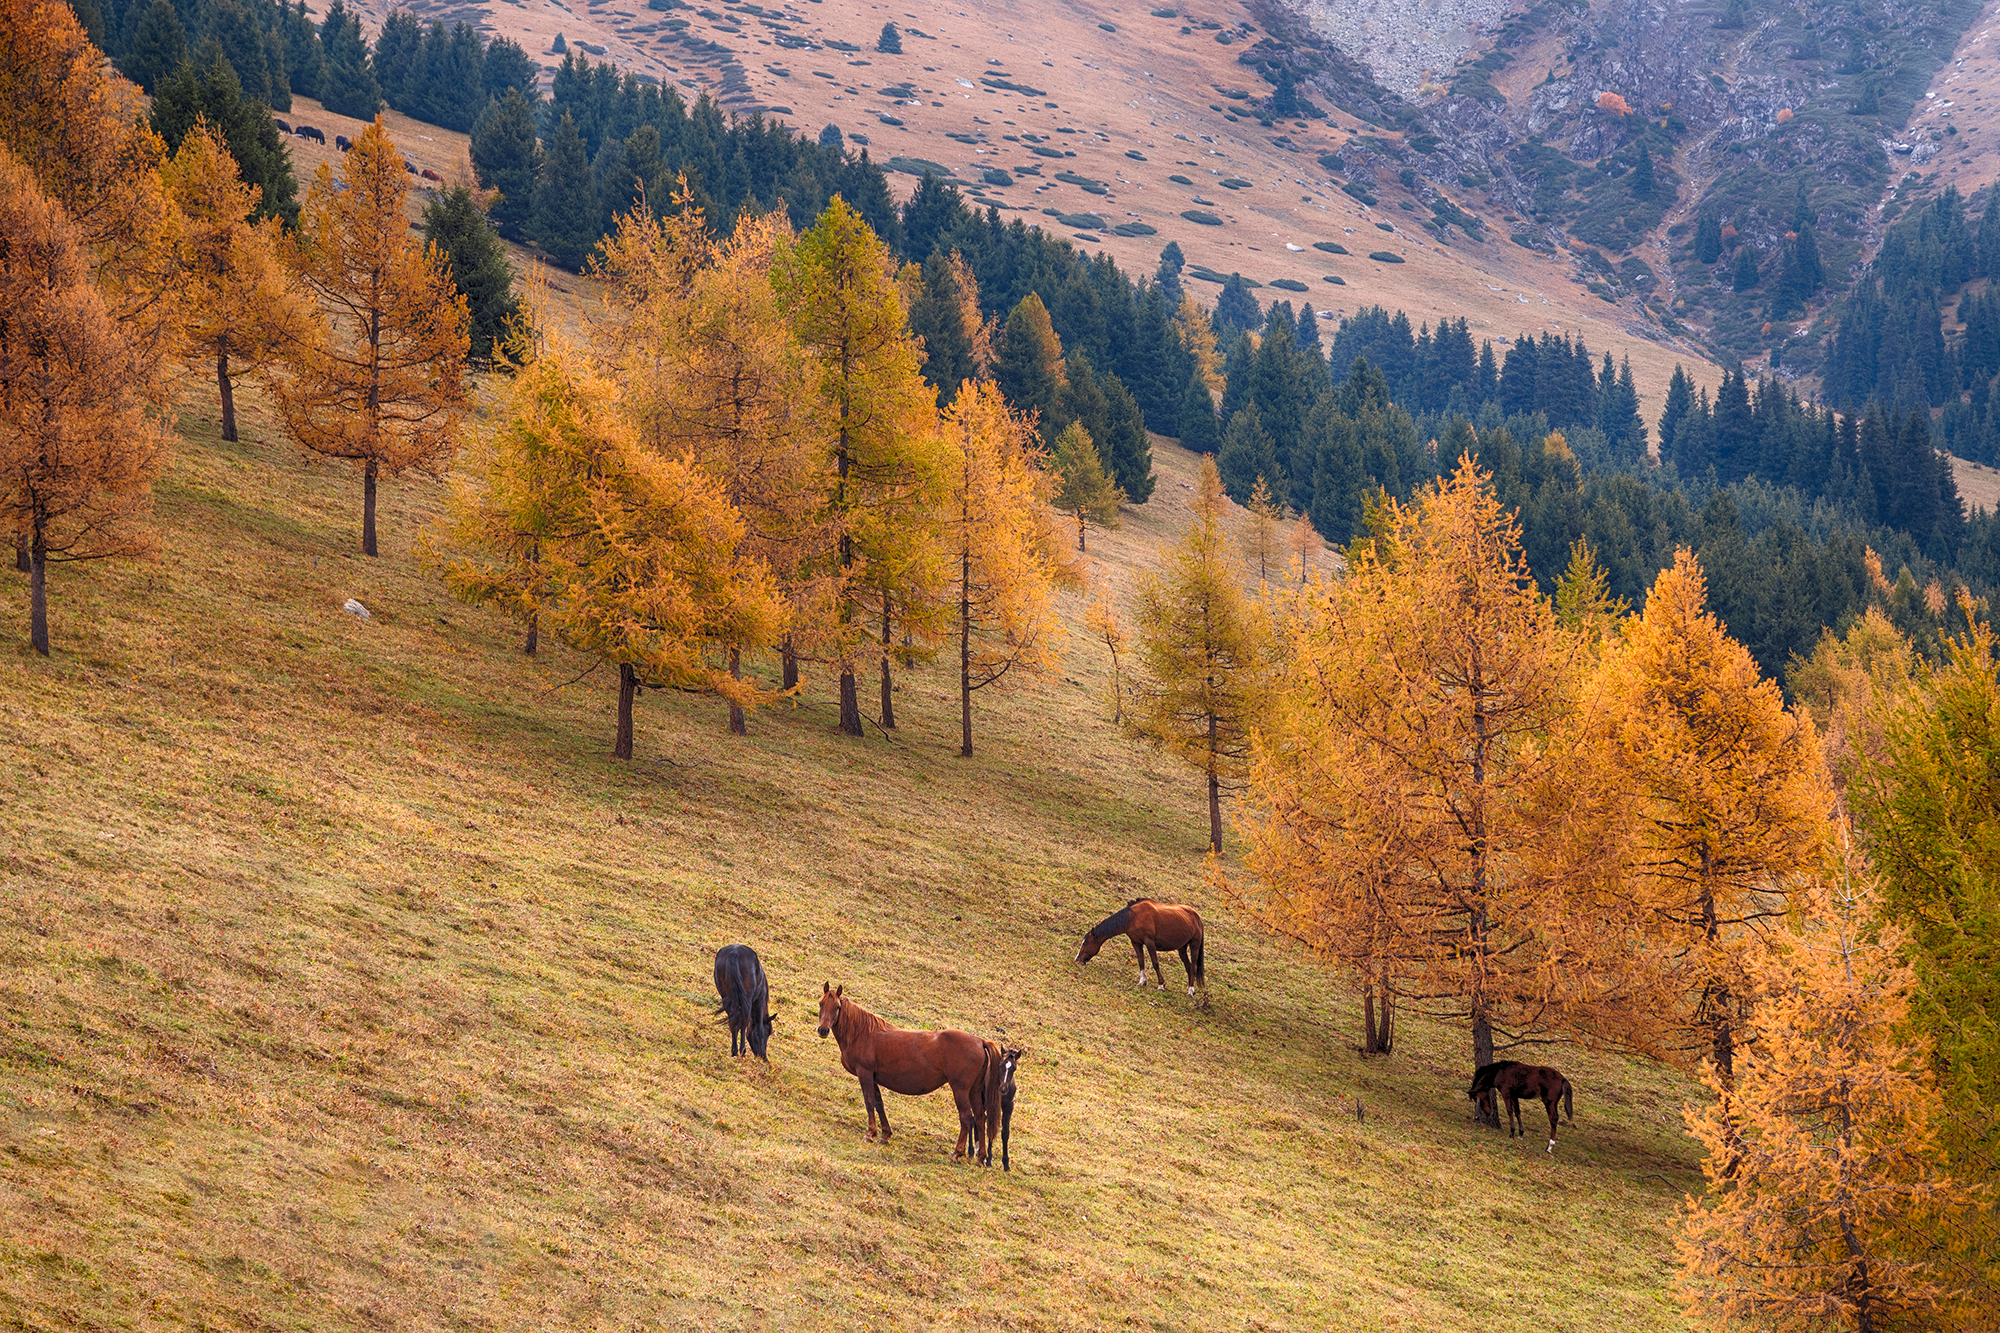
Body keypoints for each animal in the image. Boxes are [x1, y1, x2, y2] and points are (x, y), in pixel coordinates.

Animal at [820, 976, 992, 1152]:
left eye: (837, 1007)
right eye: (821, 1003)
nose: (823, 1030)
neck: (862, 1033)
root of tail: (980, 1041)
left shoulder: (865, 1073)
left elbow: (869, 1102)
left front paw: (870, 1133)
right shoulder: (873, 1077)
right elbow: (879, 1104)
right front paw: (885, 1134)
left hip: (960, 1090)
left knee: (966, 1118)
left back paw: (957, 1153)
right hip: (974, 1091)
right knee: (980, 1118)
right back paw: (981, 1155)